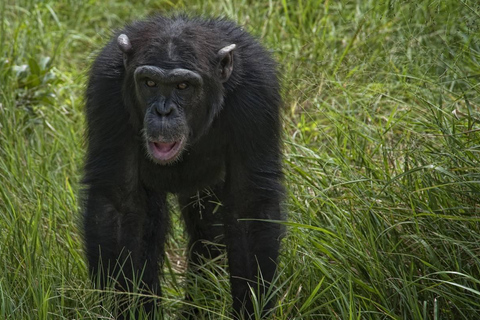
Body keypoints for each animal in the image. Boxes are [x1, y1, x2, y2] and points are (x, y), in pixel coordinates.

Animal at [82, 13, 284, 318]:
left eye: (182, 86)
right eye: (149, 83)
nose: (163, 111)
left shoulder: (258, 92)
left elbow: (248, 208)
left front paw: (250, 309)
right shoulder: (106, 88)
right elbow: (119, 204)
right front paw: (125, 307)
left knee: (208, 230)